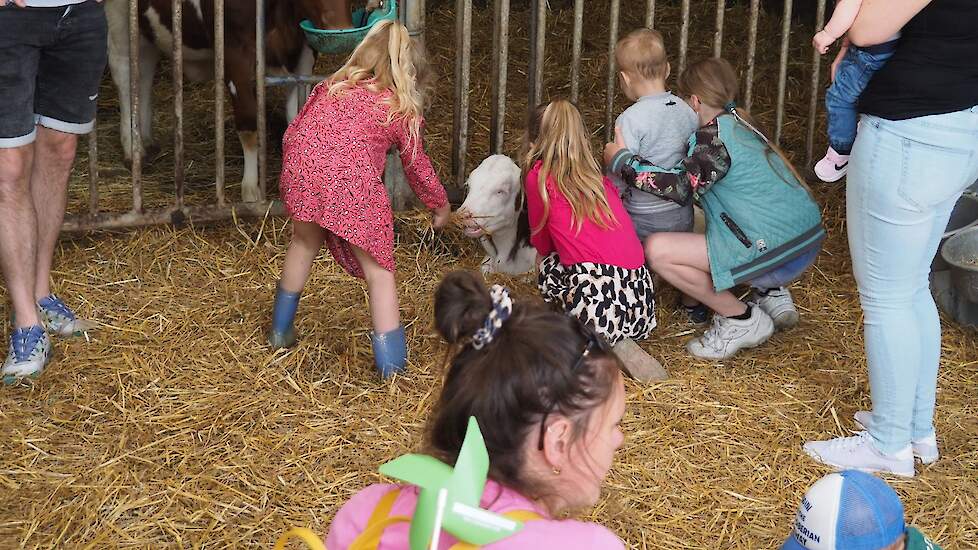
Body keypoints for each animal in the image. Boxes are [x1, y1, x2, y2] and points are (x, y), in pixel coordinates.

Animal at [105, 0, 368, 203]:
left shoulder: (303, 49)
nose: (342, 30)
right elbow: (249, 124)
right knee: (124, 72)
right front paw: (251, 189)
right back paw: (133, 149)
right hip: (119, 17)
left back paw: (146, 139)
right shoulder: (234, 53)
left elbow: (296, 116)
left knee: (144, 74)